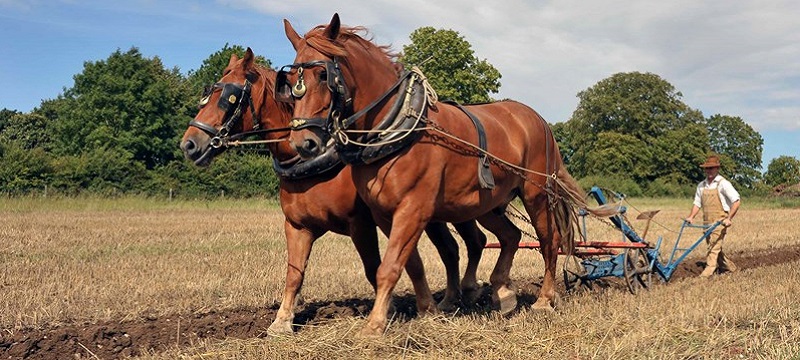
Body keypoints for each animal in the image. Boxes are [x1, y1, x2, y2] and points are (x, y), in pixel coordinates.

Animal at [182, 47, 490, 334]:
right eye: (208, 93)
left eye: (230, 97)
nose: (189, 144)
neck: (311, 163)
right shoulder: (297, 225)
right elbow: (294, 274)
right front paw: (282, 321)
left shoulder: (361, 223)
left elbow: (373, 268)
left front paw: (386, 312)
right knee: (451, 248)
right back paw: (451, 299)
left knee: (475, 241)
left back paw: (468, 292)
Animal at [282, 12, 612, 336]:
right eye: (291, 82)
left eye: (323, 75)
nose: (304, 143)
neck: (396, 127)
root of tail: (539, 120)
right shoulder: (384, 214)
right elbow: (409, 264)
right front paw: (427, 310)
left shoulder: (413, 209)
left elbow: (389, 267)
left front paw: (374, 325)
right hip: (488, 204)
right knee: (511, 235)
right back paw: (502, 293)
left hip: (537, 194)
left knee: (548, 241)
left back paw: (544, 299)